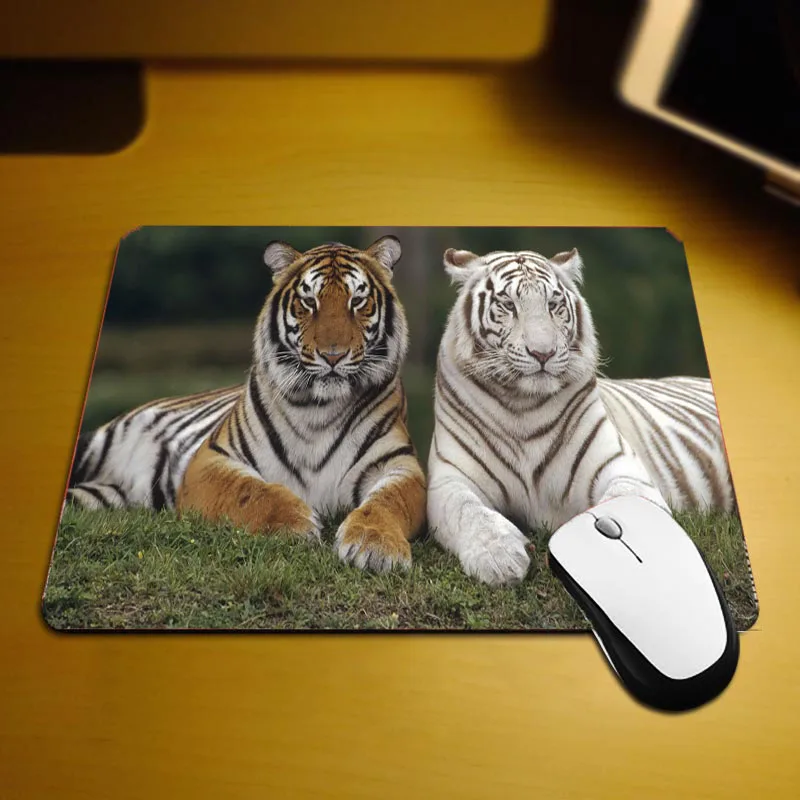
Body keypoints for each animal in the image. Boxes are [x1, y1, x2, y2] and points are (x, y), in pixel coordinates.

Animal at [66, 237, 427, 573]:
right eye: (309, 301)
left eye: (358, 301)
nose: (333, 355)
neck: (319, 408)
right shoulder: (211, 459)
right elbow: (250, 491)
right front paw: (296, 522)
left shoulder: (399, 465)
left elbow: (388, 501)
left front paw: (376, 547)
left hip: (103, 496)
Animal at [427, 246, 735, 587]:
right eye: (508, 305)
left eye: (553, 305)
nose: (543, 353)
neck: (522, 407)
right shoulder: (449, 480)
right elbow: (469, 512)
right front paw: (499, 558)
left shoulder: (620, 466)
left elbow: (622, 504)